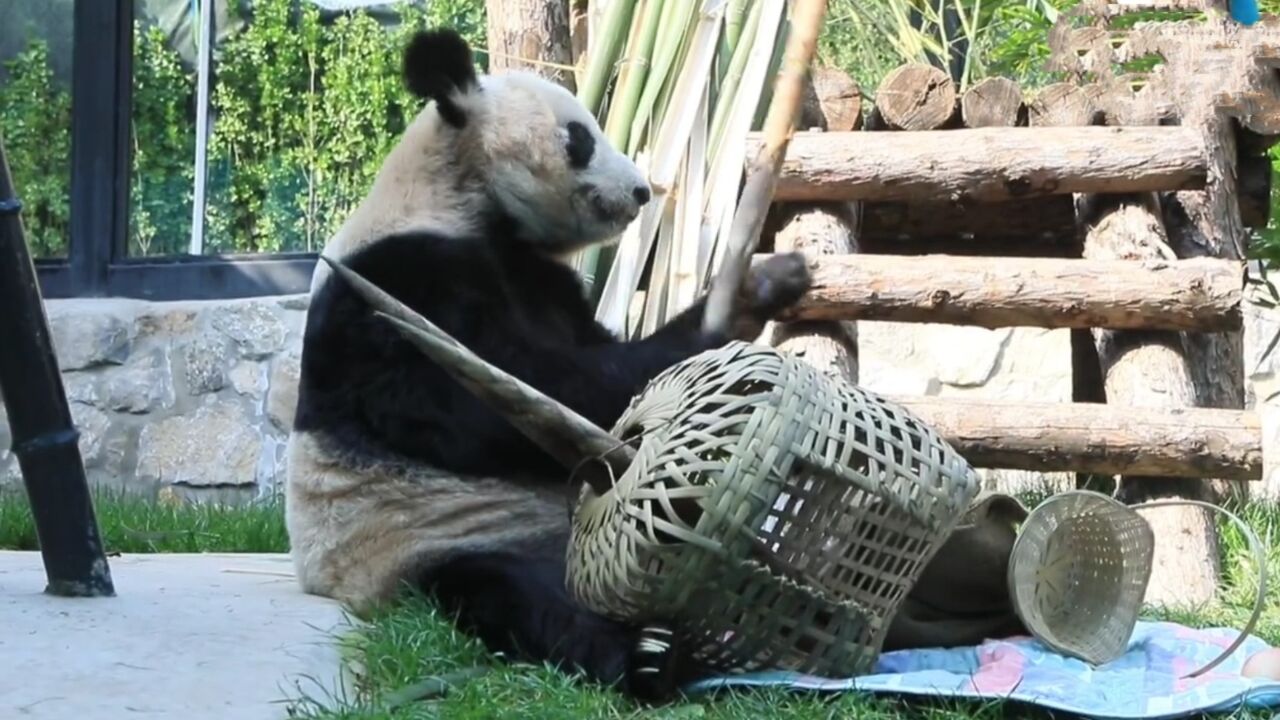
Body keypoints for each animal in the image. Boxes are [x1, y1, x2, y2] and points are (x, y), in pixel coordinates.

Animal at [286, 26, 814, 696]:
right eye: (580, 137)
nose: (641, 191)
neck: (458, 195)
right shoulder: (396, 285)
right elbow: (492, 403)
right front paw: (708, 344)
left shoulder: (541, 276)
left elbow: (584, 356)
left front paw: (764, 284)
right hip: (428, 541)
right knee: (519, 595)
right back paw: (646, 654)